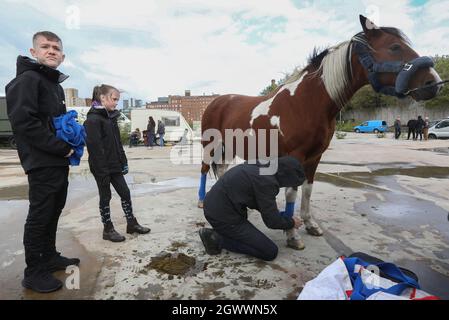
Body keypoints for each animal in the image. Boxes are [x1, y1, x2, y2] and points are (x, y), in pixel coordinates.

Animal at [198, 15, 442, 250]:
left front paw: (310, 224)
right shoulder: (294, 156)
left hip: (229, 148)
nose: (434, 82)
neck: (307, 102)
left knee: (222, 169)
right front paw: (293, 235)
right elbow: (291, 193)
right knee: (204, 169)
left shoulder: (315, 157)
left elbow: (307, 190)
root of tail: (216, 102)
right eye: (394, 47)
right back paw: (201, 201)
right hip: (209, 146)